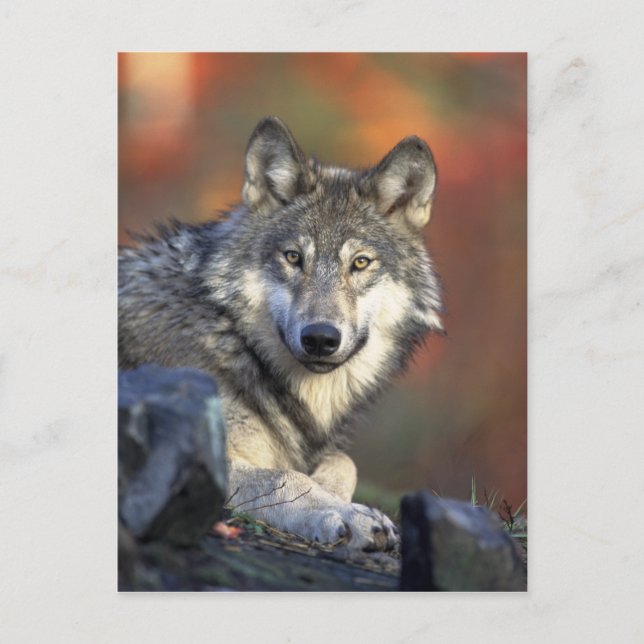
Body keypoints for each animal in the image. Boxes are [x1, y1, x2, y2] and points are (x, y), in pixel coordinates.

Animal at [119, 116, 443, 551]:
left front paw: (337, 496)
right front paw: (346, 514)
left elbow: (343, 461)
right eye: (293, 257)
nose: (320, 338)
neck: (233, 340)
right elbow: (285, 477)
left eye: (360, 263)